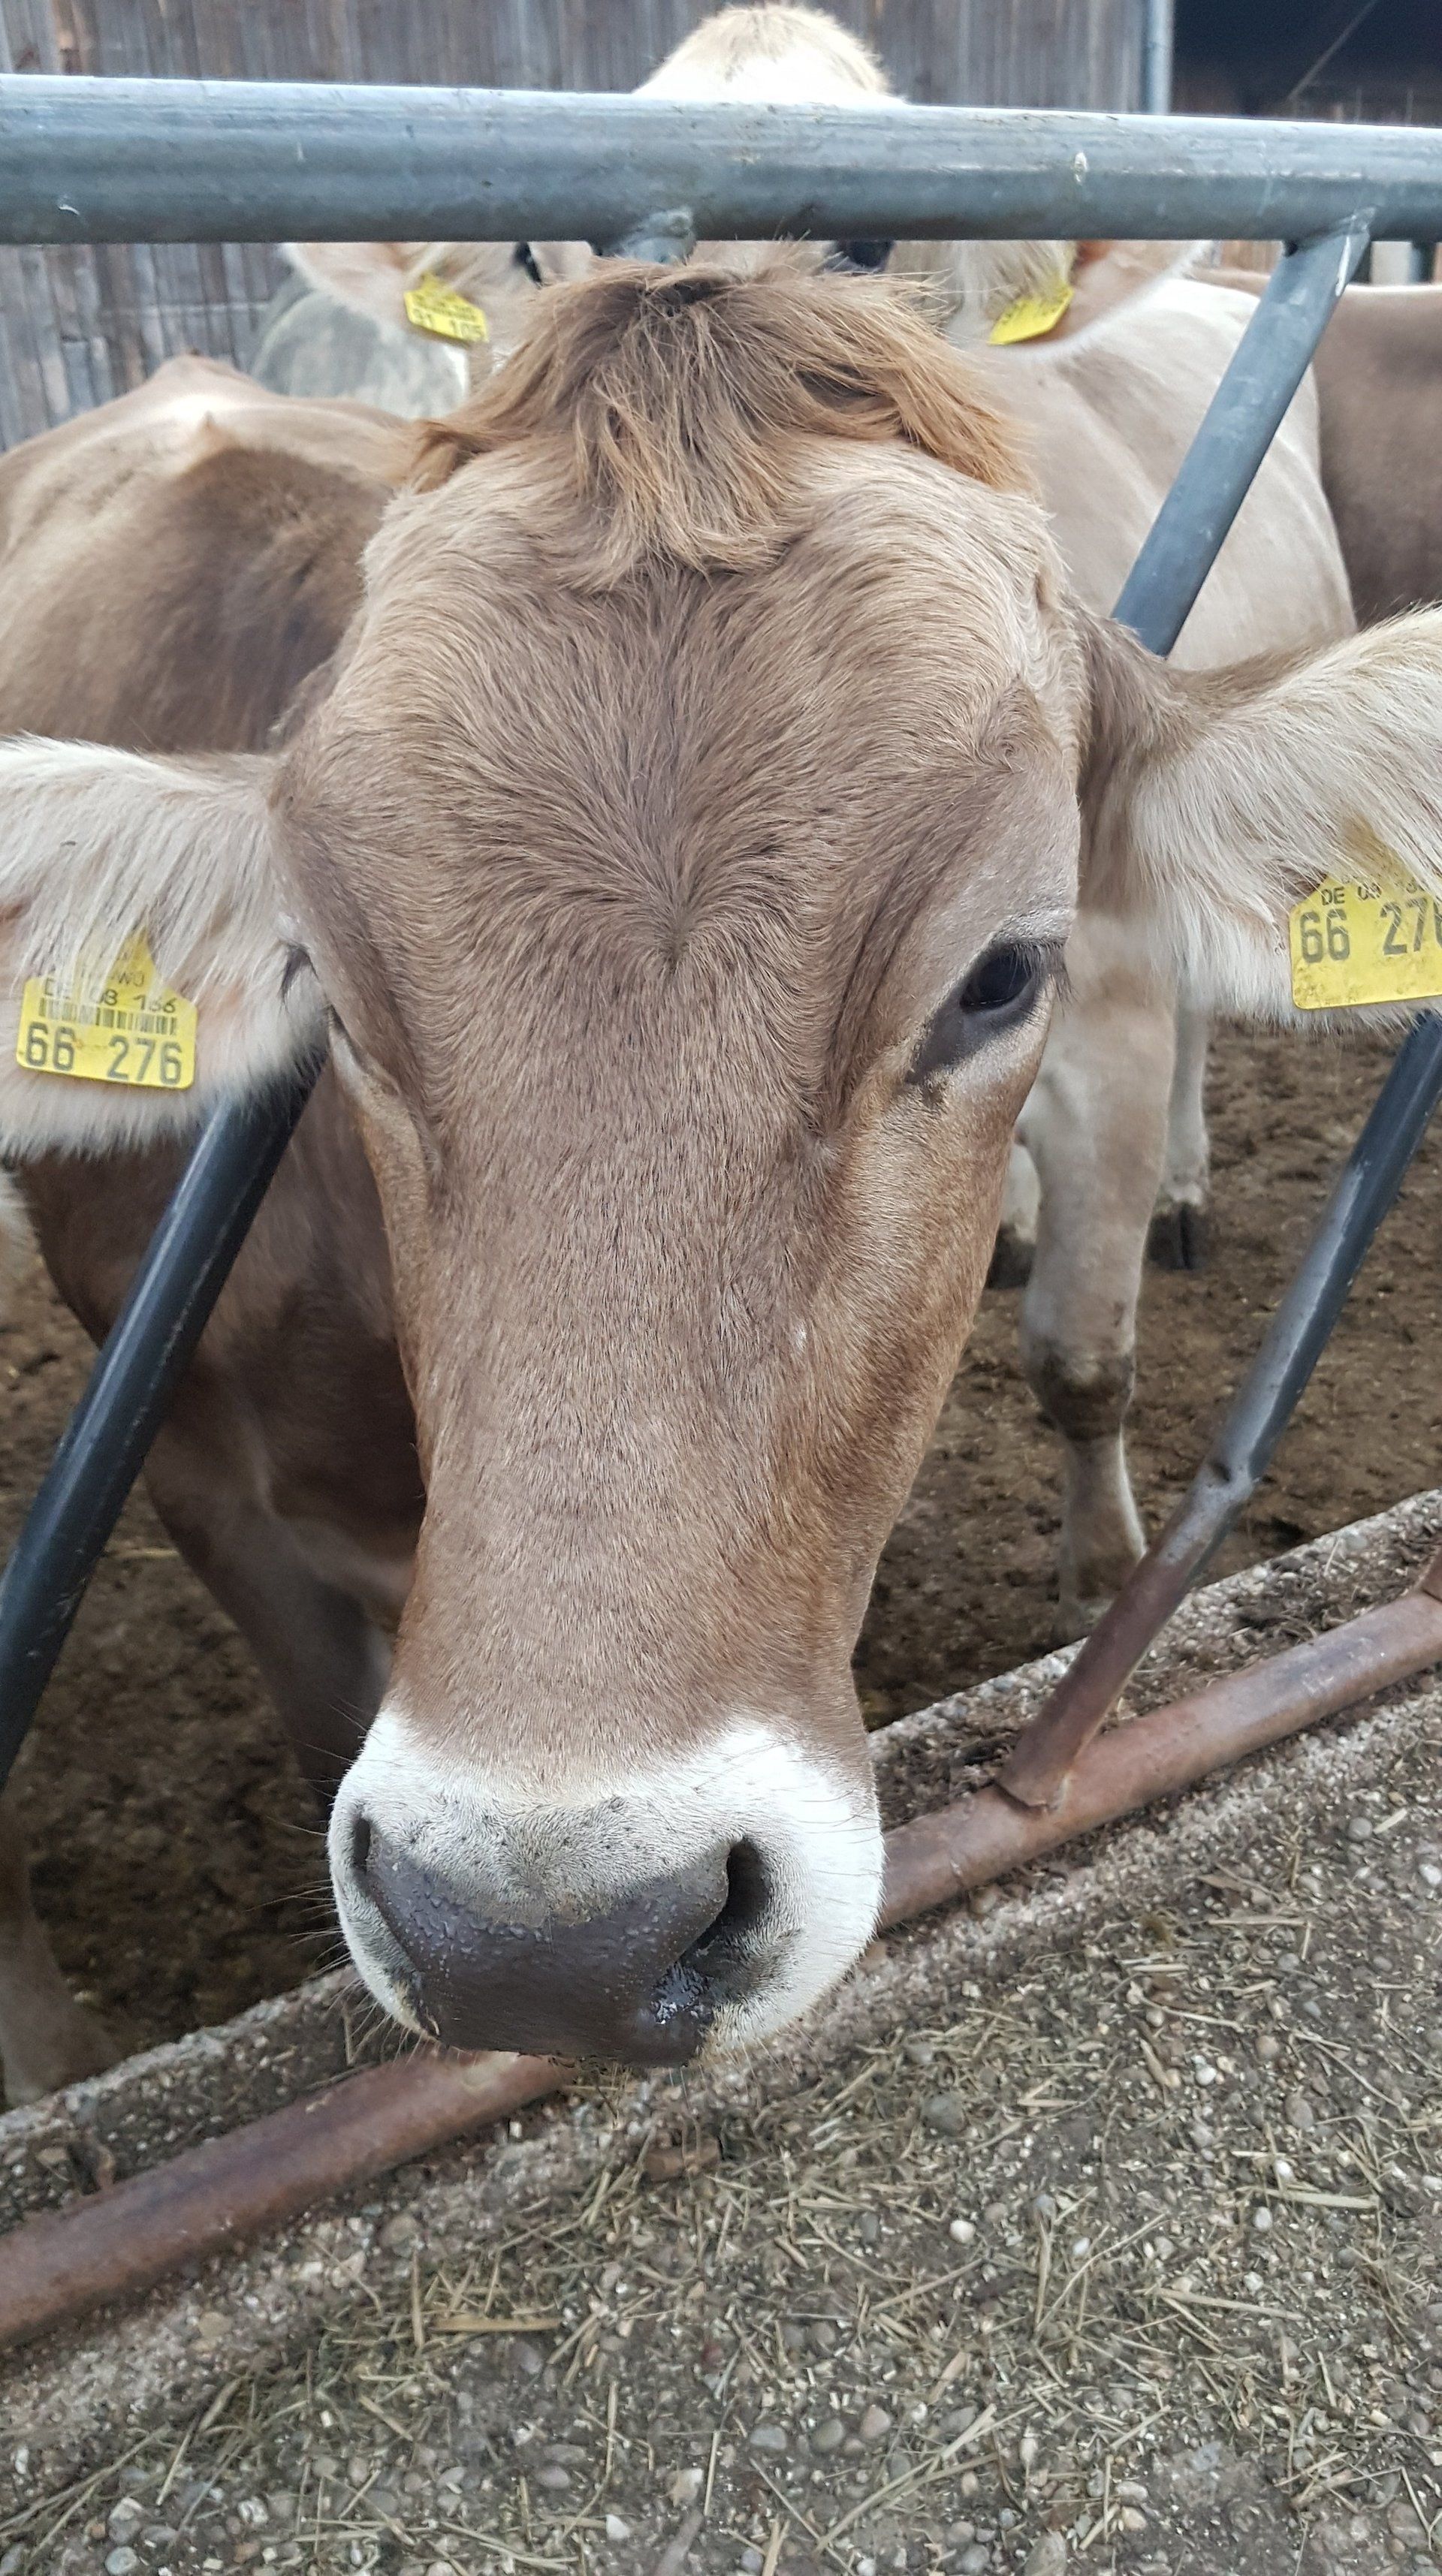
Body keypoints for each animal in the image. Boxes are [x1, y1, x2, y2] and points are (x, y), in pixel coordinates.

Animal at [1, 260, 1440, 2096]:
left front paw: (1093, 1599)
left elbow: (1080, 1361)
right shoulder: (199, 1475)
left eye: (999, 974)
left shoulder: (1102, 1019)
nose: (553, 1937)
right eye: (327, 980)